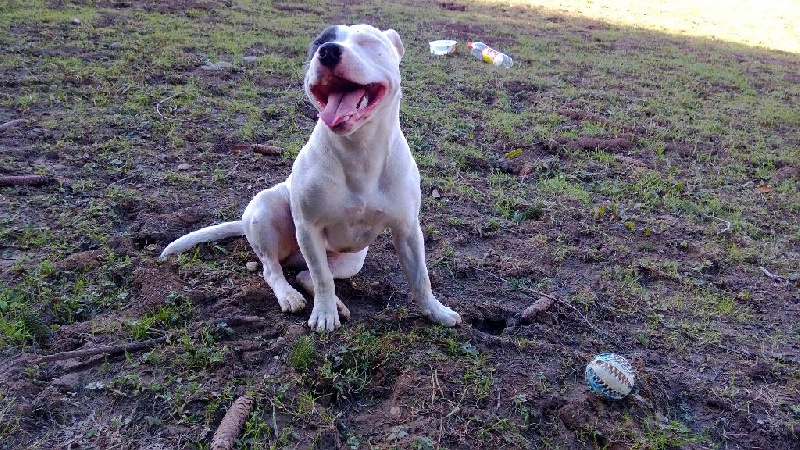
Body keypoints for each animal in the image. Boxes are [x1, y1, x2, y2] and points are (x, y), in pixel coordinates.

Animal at [161, 23, 462, 330]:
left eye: (367, 42)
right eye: (319, 42)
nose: (327, 51)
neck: (359, 150)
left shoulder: (408, 230)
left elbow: (420, 278)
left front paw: (436, 311)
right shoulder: (309, 228)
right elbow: (322, 277)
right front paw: (325, 314)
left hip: (352, 259)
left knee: (304, 274)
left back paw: (336, 303)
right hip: (266, 211)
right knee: (275, 270)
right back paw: (290, 296)